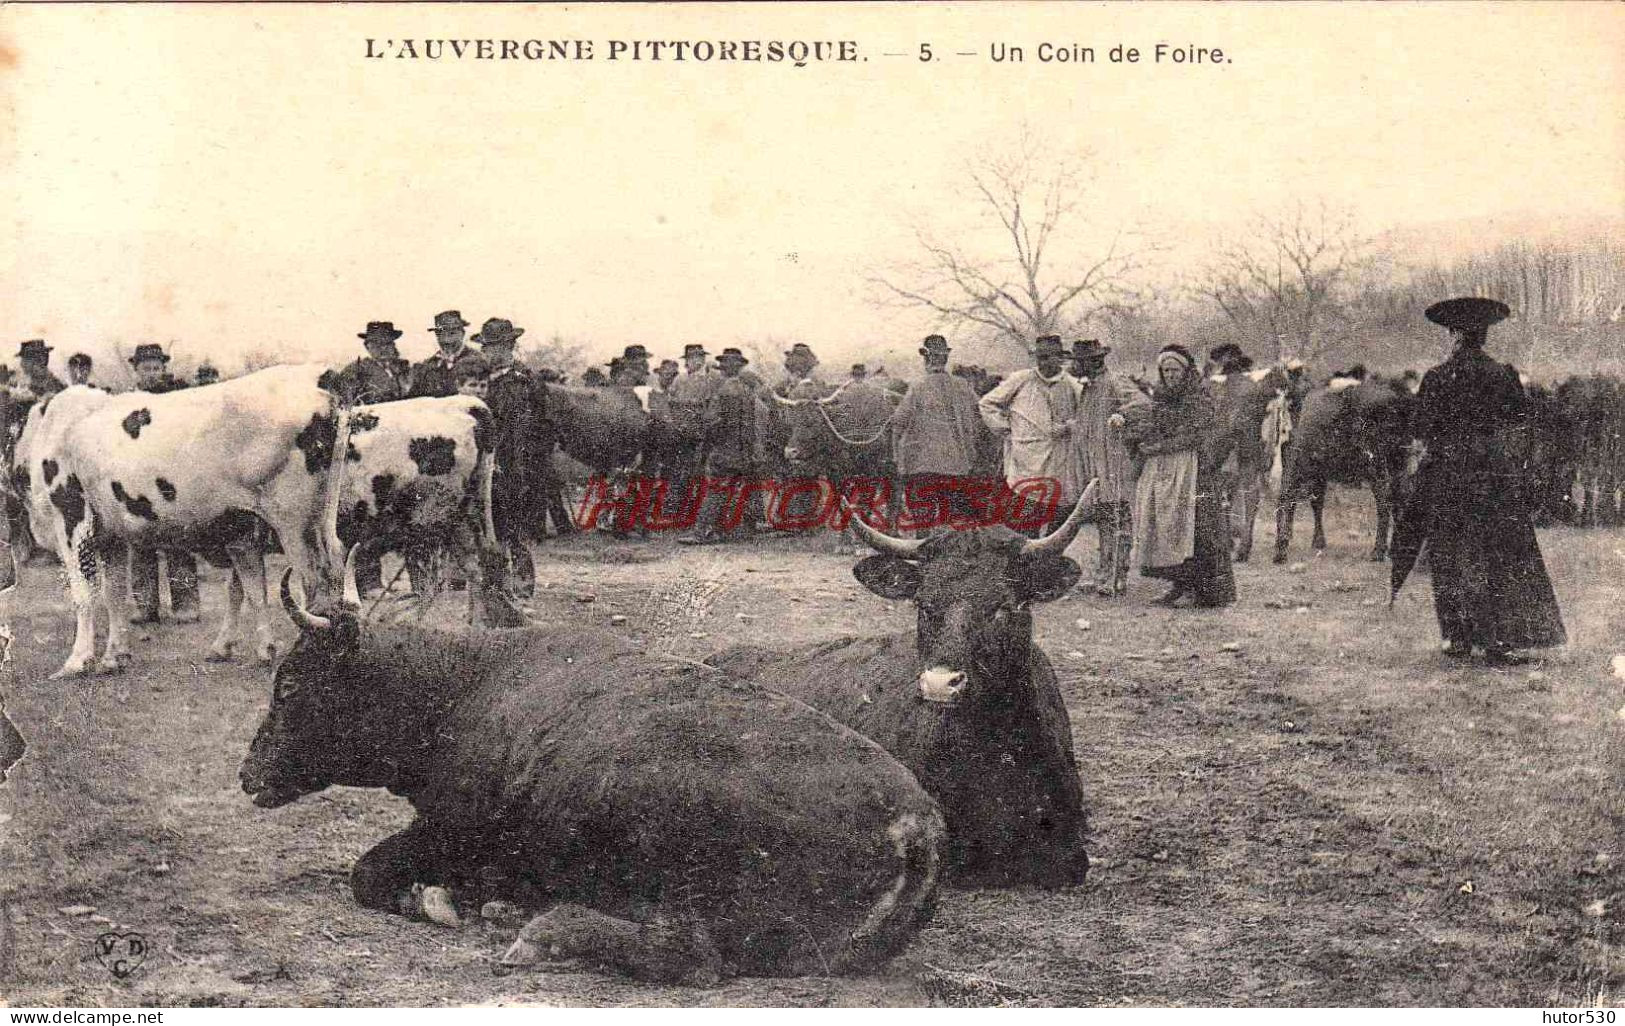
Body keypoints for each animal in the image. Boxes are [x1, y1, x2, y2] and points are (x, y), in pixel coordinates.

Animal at [245, 565, 949, 982]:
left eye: (291, 685)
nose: (249, 775)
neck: (460, 686)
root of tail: (915, 823)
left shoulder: (451, 830)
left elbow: (369, 874)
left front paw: (438, 900)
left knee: (690, 957)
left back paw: (544, 931)